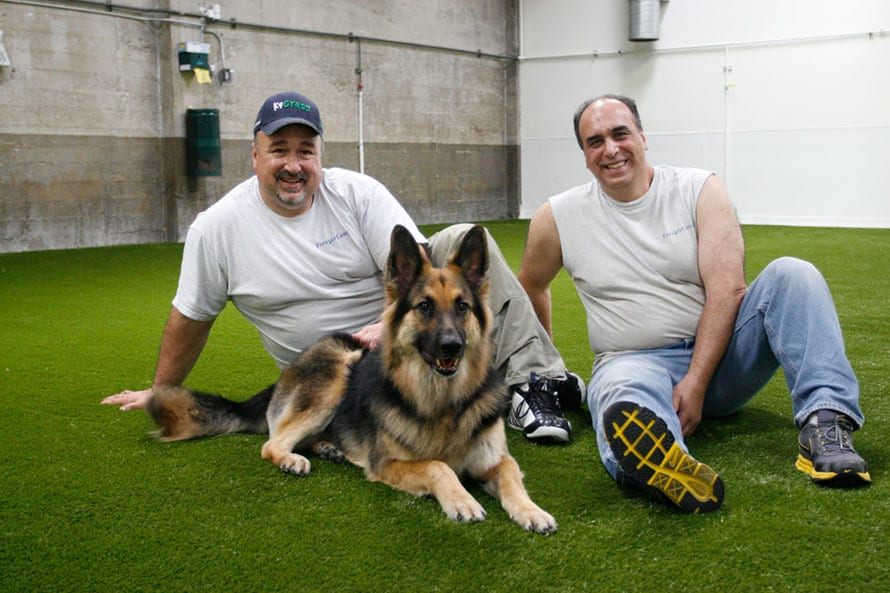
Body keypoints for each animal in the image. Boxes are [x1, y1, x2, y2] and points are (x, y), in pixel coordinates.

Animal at [150, 224, 560, 536]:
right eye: (424, 306)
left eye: (462, 307)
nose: (451, 347)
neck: (442, 401)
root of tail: (289, 369)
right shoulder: (388, 464)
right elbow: (437, 466)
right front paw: (461, 499)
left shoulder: (494, 460)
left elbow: (510, 475)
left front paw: (531, 510)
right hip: (337, 374)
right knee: (271, 443)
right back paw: (293, 459)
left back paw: (328, 447)